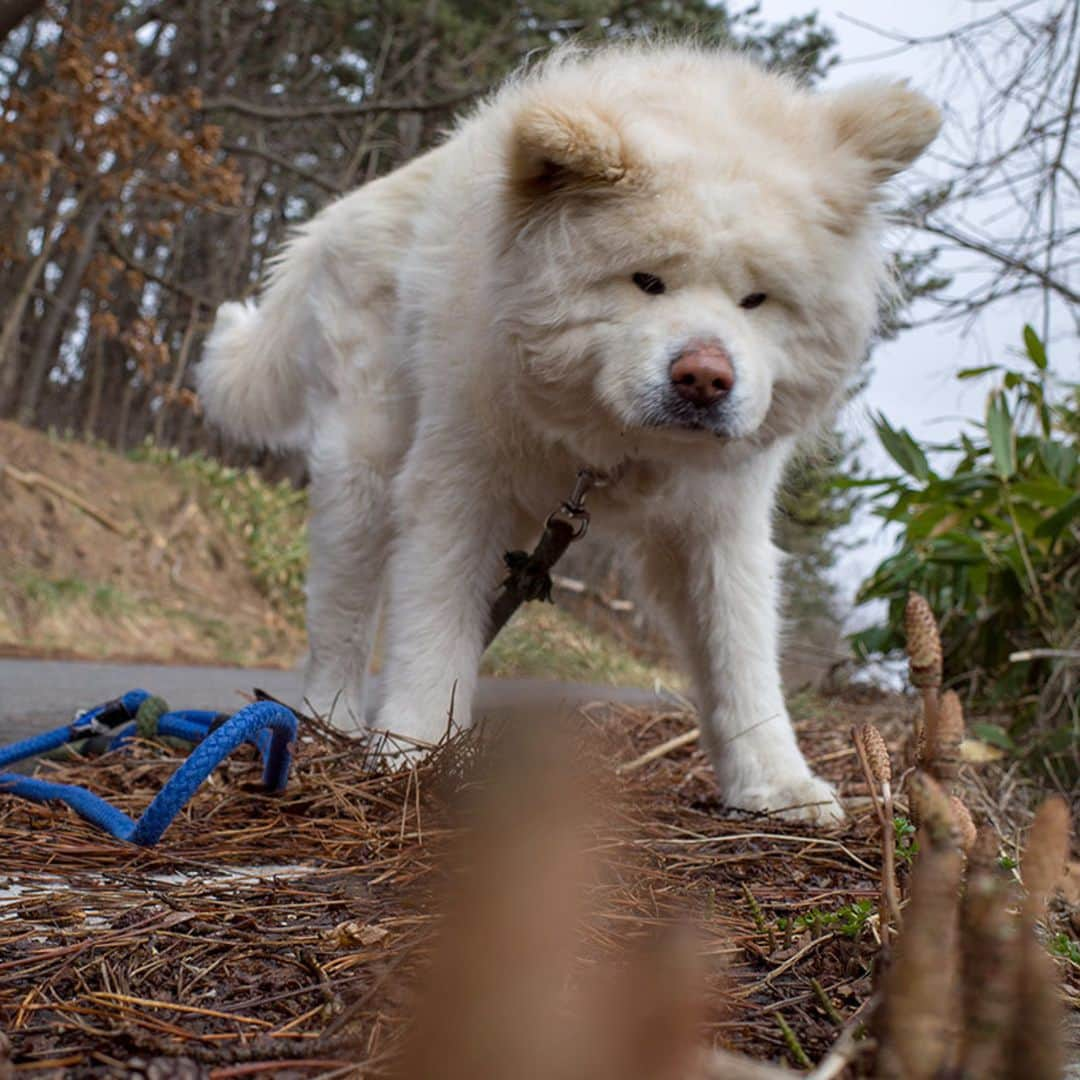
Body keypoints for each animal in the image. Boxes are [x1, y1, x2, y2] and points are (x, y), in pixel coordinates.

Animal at [200, 42, 937, 816]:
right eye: (646, 281)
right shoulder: (458, 486)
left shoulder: (719, 523)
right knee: (340, 615)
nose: (705, 378)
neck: (612, 444)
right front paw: (415, 754)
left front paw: (774, 784)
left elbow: (739, 654)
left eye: (756, 300)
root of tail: (334, 220)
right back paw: (328, 724)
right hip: (363, 468)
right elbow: (432, 627)